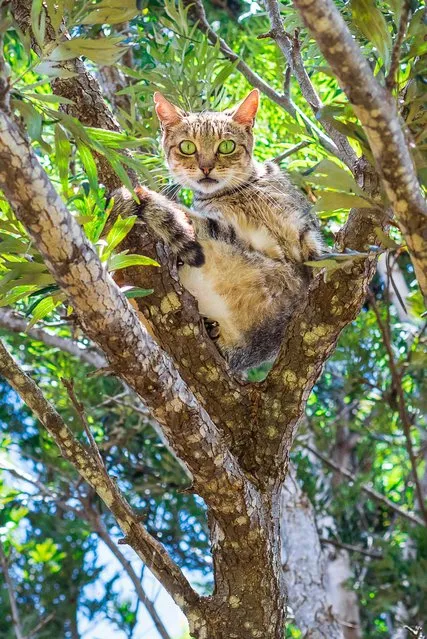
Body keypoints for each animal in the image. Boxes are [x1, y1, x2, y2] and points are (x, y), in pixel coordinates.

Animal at [112, 87, 326, 372]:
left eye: (226, 146)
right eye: (187, 147)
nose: (205, 167)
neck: (238, 194)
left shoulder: (301, 231)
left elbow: (318, 256)